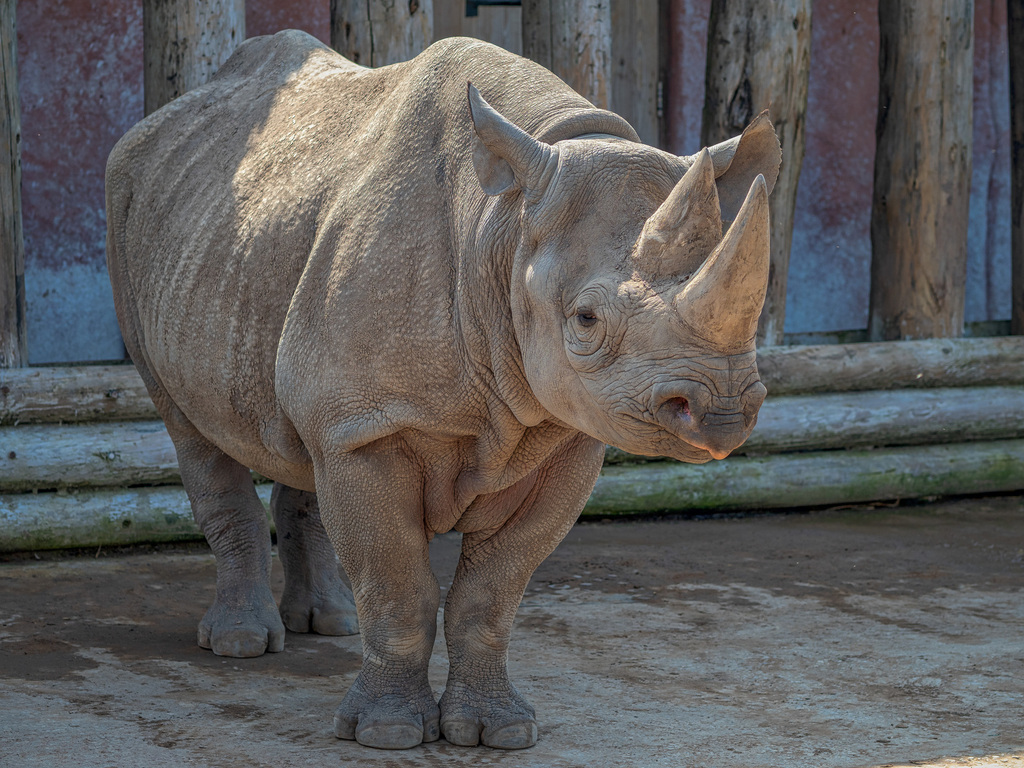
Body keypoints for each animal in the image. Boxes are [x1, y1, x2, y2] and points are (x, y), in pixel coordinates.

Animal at [105, 30, 780, 750]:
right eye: (585, 320)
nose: (723, 410)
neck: (504, 228)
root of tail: (164, 119)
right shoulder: (373, 426)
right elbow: (398, 587)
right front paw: (388, 734)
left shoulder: (565, 436)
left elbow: (491, 594)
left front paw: (498, 731)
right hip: (134, 212)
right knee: (193, 430)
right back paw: (241, 644)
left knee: (304, 438)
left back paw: (330, 624)